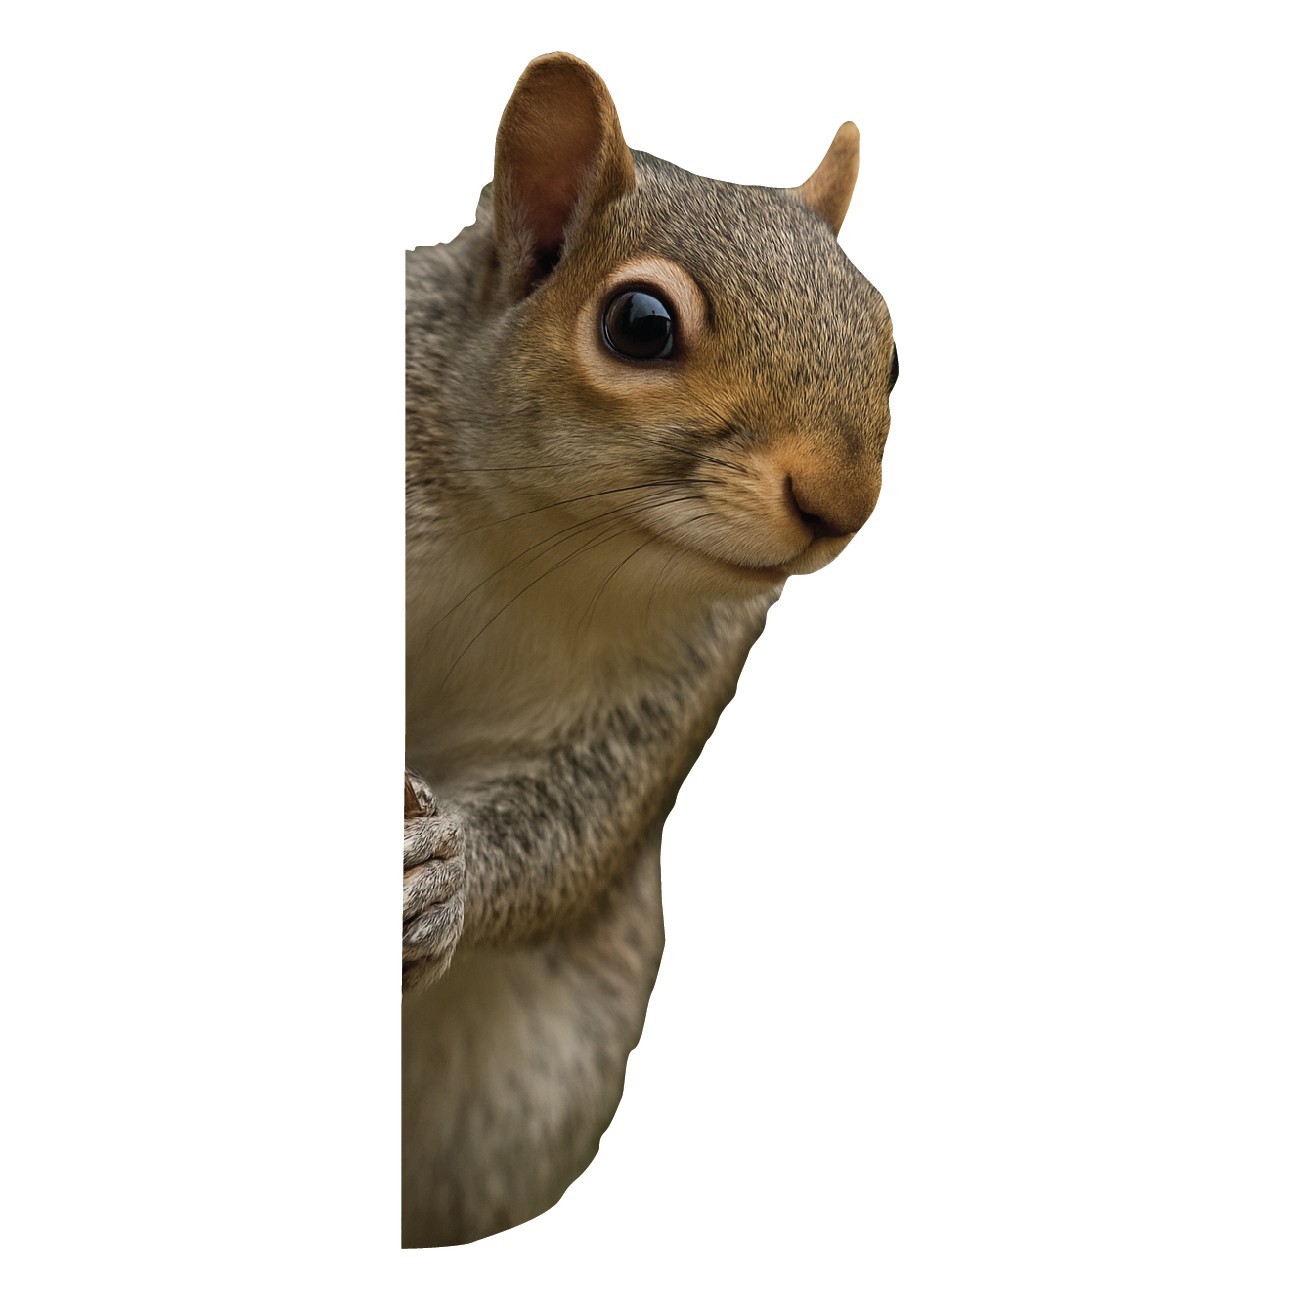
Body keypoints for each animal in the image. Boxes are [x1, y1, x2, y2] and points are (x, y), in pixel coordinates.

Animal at [403, 52, 898, 1248]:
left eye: (892, 351)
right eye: (639, 324)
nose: (843, 503)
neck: (536, 534)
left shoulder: (673, 677)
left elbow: (579, 824)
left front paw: (447, 873)